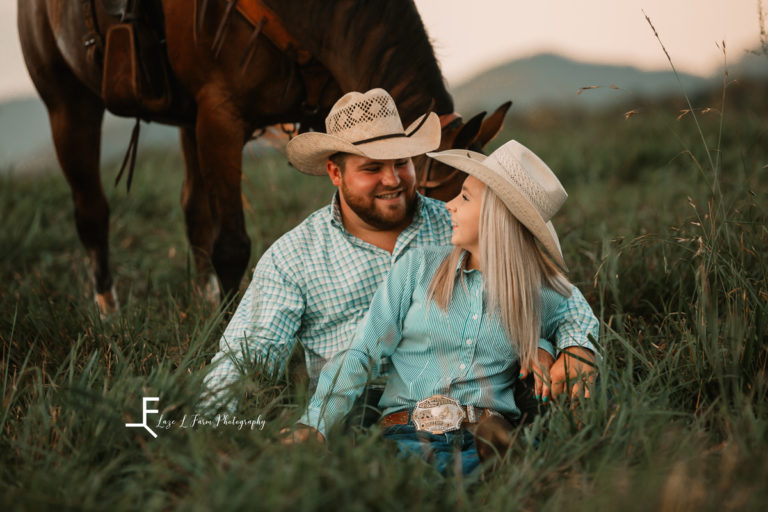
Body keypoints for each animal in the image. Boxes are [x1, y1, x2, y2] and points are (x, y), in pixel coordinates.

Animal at [16, 0, 510, 314]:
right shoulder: (220, 114)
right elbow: (233, 245)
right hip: (68, 105)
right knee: (91, 212)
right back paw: (108, 310)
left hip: (186, 119)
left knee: (192, 209)